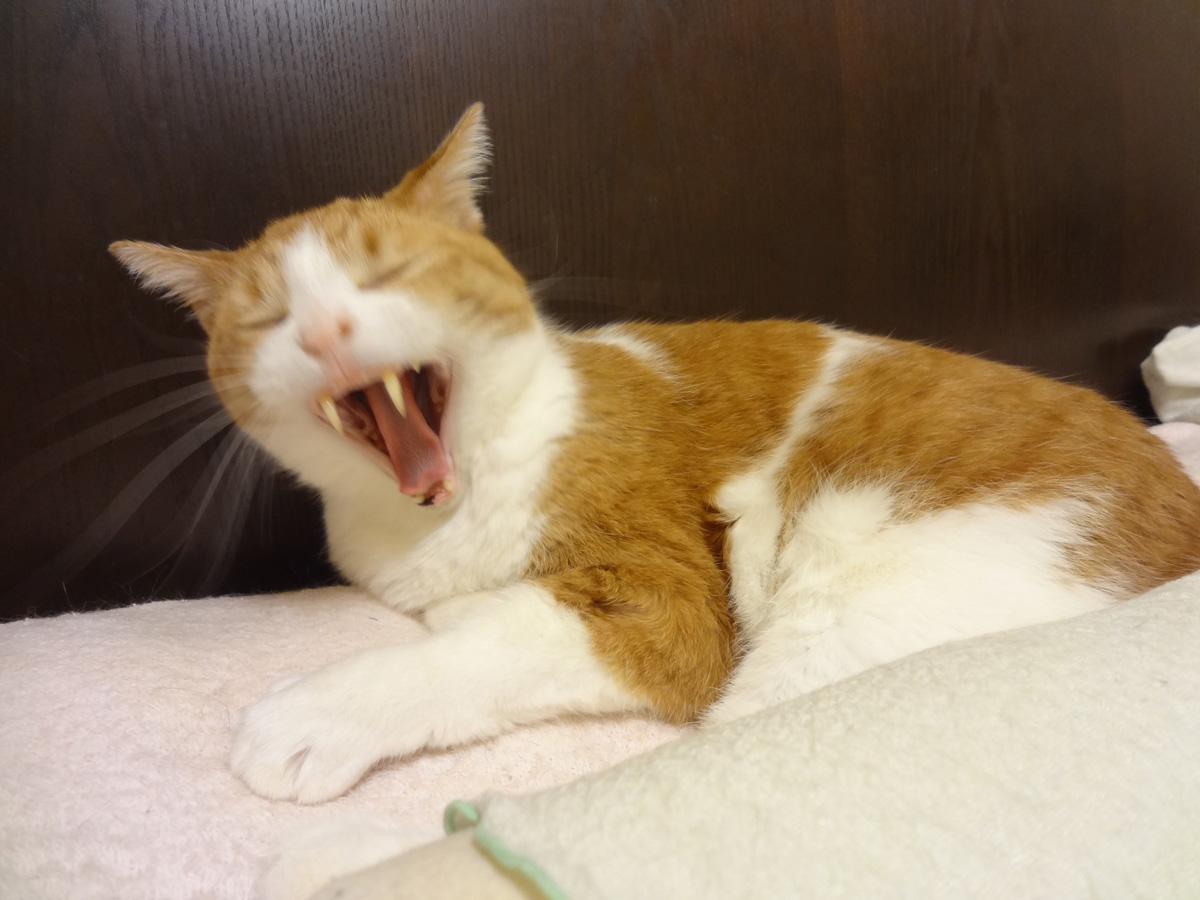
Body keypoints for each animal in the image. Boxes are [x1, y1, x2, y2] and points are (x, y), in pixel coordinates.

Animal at [111, 103, 1200, 805]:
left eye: (390, 272)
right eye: (267, 316)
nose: (328, 328)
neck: (437, 513)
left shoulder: (665, 605)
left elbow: (487, 646)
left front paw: (320, 714)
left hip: (855, 624)